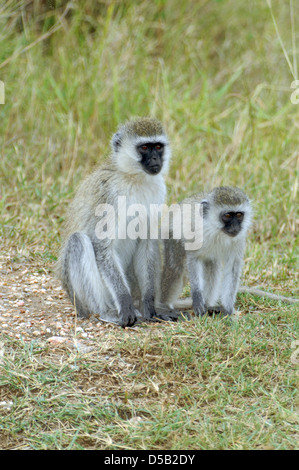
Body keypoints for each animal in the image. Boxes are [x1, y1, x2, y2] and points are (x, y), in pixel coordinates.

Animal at [57, 117, 172, 326]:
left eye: (158, 147)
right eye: (144, 148)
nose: (155, 160)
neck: (134, 177)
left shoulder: (158, 190)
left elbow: (146, 243)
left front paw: (150, 306)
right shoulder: (109, 192)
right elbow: (101, 245)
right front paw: (125, 304)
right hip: (83, 299)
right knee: (78, 241)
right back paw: (106, 311)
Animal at [161, 186, 252, 316]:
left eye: (239, 215)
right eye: (227, 216)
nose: (235, 227)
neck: (215, 229)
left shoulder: (238, 239)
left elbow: (232, 267)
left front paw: (228, 309)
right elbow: (193, 259)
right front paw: (198, 298)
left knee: (212, 265)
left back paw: (209, 305)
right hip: (170, 235)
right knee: (175, 268)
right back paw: (164, 306)